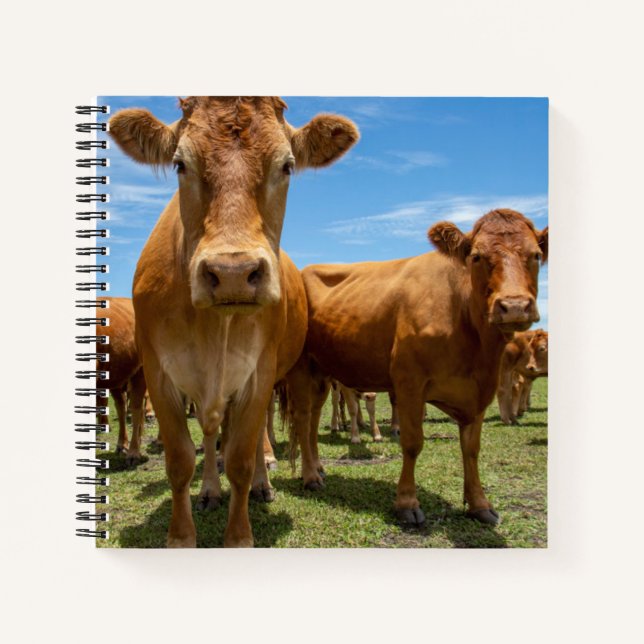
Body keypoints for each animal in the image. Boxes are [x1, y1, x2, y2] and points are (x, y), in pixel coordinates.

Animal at [109, 97, 358, 547]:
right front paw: (181, 535)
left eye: (287, 165)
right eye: (180, 164)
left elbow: (241, 457)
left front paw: (240, 533)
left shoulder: (258, 374)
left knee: (283, 428)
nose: (233, 273)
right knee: (213, 435)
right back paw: (210, 489)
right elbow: (180, 460)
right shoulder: (158, 373)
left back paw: (277, 480)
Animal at [285, 208, 547, 526]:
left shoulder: (479, 390)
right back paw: (310, 476)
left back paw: (317, 466)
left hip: (321, 371)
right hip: (300, 367)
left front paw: (479, 504)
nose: (514, 306)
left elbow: (471, 449)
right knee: (301, 417)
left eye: (536, 255)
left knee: (313, 417)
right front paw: (407, 503)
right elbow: (412, 443)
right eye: (476, 256)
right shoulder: (409, 383)